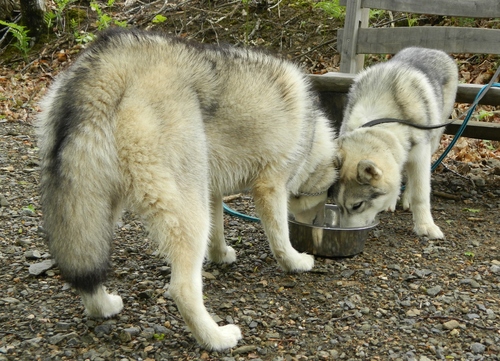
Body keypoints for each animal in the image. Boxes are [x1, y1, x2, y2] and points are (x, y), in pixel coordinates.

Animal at [37, 29, 338, 350]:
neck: (313, 134)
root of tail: (113, 66)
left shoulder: (213, 192)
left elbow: (218, 233)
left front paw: (221, 255)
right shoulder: (270, 187)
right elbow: (280, 237)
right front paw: (295, 262)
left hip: (95, 208)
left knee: (87, 269)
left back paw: (103, 307)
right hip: (188, 214)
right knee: (182, 289)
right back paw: (216, 338)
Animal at [332, 47, 458, 239]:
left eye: (357, 205)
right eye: (338, 205)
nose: (346, 233)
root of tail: (432, 49)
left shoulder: (421, 154)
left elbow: (420, 194)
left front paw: (425, 226)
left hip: (435, 137)